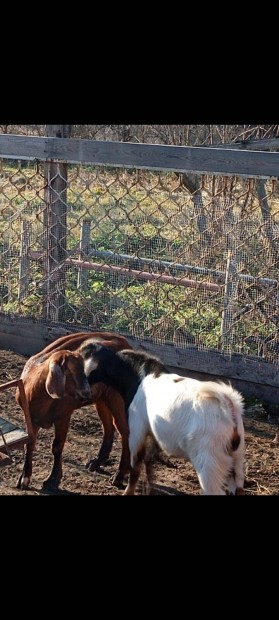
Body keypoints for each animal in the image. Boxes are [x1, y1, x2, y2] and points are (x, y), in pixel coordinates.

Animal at [15, 332, 133, 492]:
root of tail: (125, 342)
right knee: (109, 427)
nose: (87, 392)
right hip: (101, 400)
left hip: (117, 400)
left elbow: (57, 447)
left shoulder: (63, 415)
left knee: (125, 432)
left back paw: (119, 476)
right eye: (69, 372)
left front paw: (52, 480)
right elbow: (29, 444)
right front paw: (24, 478)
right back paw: (96, 462)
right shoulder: (31, 418)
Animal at [80, 344, 246, 494]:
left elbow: (136, 466)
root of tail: (228, 404)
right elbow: (148, 464)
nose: (83, 389)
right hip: (237, 461)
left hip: (209, 464)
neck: (139, 377)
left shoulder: (137, 430)